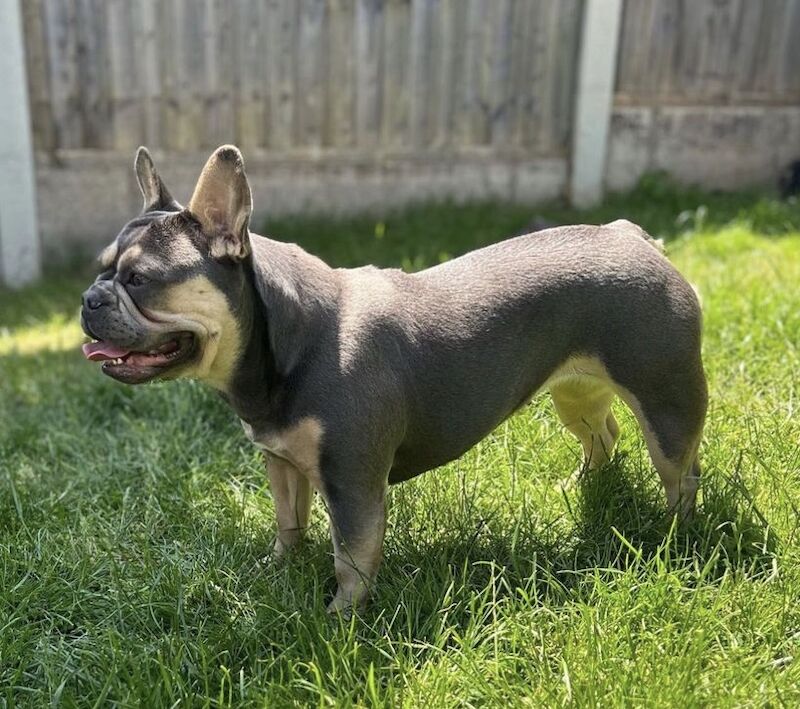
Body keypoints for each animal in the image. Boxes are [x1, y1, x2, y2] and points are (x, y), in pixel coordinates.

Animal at [81, 144, 708, 608]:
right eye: (101, 268)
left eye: (139, 279)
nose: (90, 298)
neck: (287, 341)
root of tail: (631, 235)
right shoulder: (282, 463)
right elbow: (289, 524)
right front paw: (278, 570)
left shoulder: (352, 483)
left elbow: (351, 558)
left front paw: (339, 620)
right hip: (577, 393)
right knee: (603, 435)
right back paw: (578, 487)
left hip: (666, 399)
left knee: (681, 472)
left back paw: (675, 536)